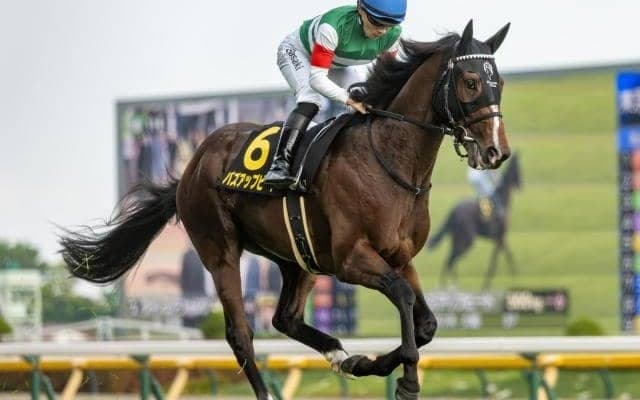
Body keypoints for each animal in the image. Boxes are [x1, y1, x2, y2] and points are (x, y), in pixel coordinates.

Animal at [59, 20, 511, 400]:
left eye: (500, 82)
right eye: (471, 81)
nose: (496, 151)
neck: (389, 161)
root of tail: (192, 166)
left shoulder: (399, 256)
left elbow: (426, 322)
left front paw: (374, 362)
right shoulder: (351, 259)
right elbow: (402, 299)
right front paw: (408, 380)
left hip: (298, 256)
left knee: (285, 319)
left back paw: (344, 355)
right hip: (219, 250)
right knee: (241, 333)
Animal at [427, 152, 521, 290]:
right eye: (518, 169)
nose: (521, 185)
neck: (502, 200)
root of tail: (453, 210)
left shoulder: (500, 237)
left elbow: (508, 254)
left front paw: (515, 275)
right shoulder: (499, 236)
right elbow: (495, 261)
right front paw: (487, 283)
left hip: (457, 238)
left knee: (449, 259)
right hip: (466, 239)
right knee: (451, 260)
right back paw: (447, 287)